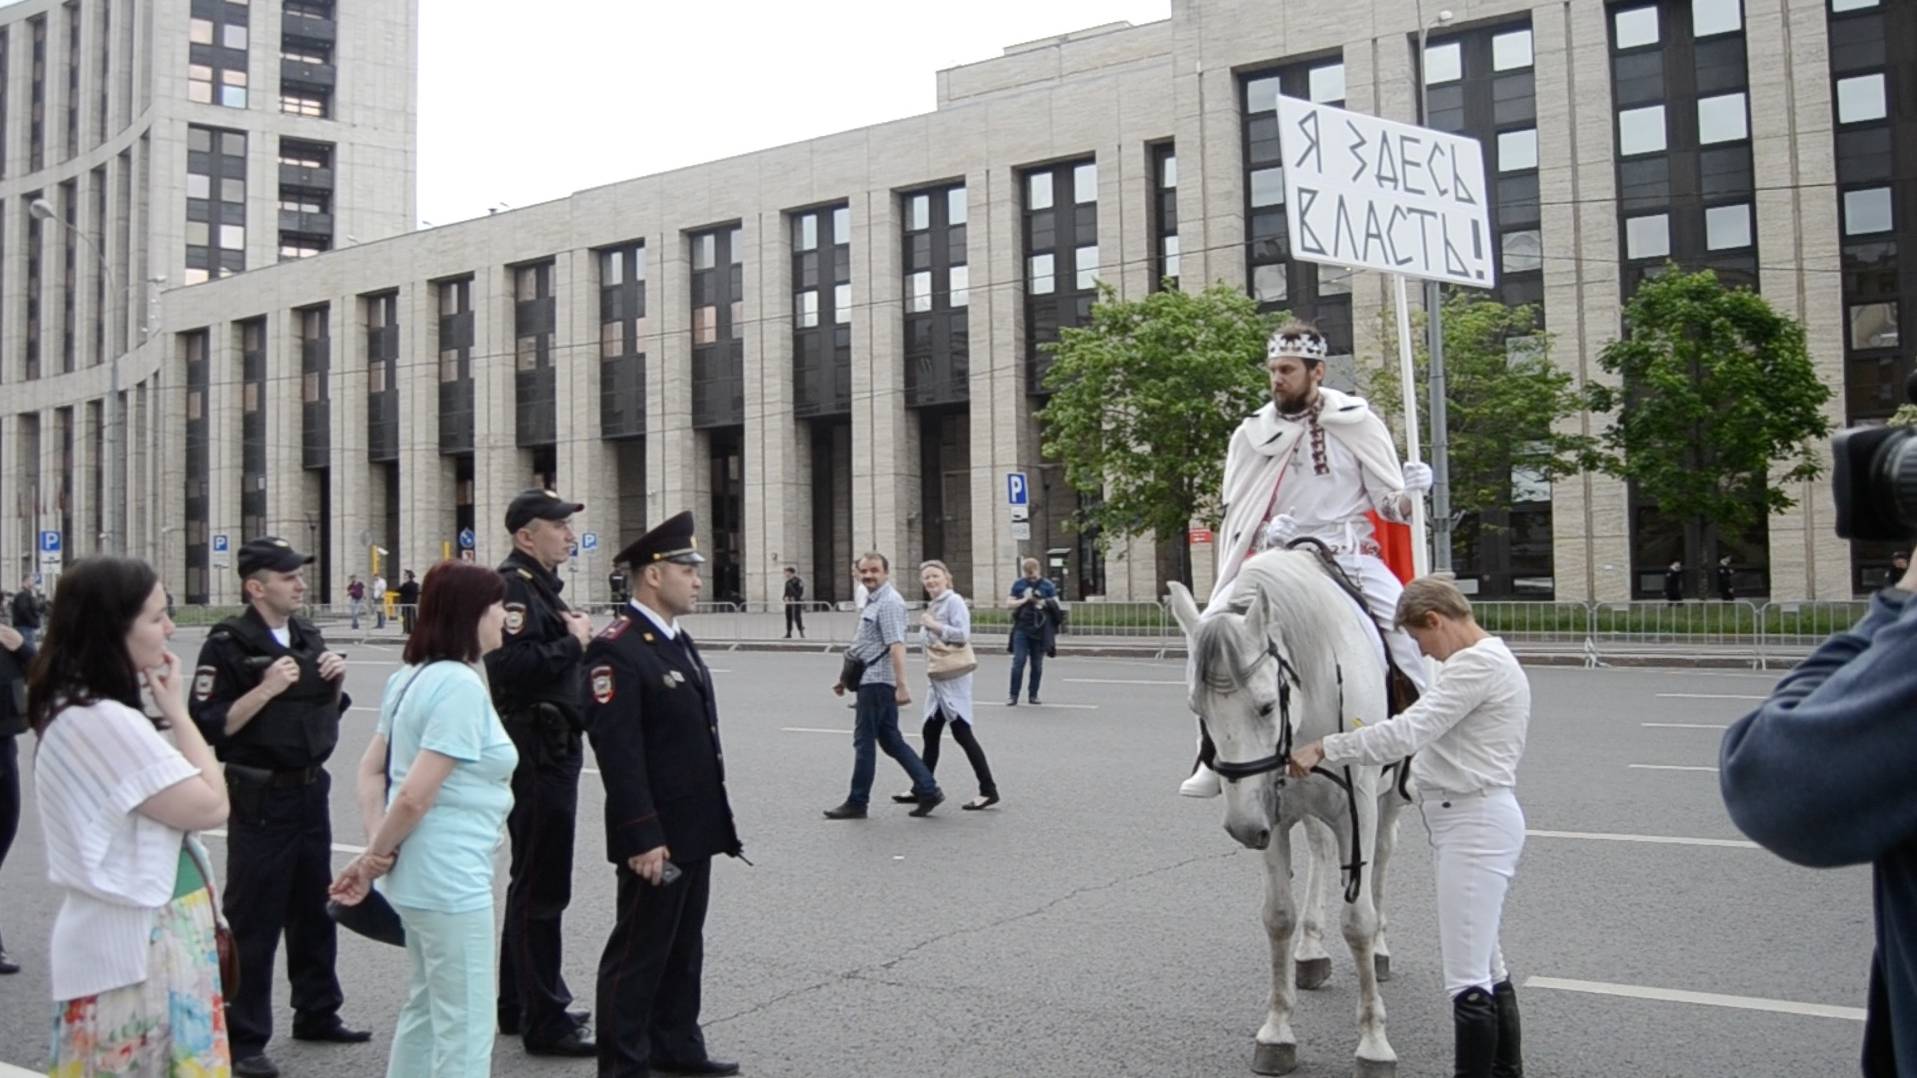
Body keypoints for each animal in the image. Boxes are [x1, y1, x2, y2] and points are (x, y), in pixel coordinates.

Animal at [1165, 548, 1410, 1066]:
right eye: (1198, 710)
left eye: (1263, 706)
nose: (1241, 828)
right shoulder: (1271, 816)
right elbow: (1278, 916)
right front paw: (1277, 1031)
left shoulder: (1357, 809)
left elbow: (1358, 921)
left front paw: (1373, 1039)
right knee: (1320, 851)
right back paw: (1311, 951)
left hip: (1387, 802)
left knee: (1381, 861)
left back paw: (1380, 949)